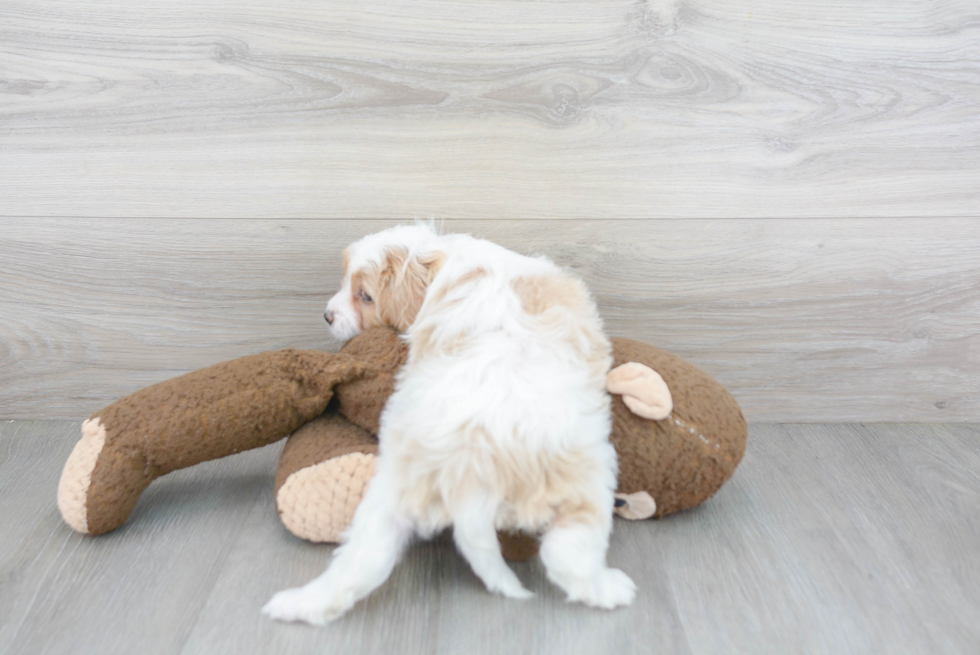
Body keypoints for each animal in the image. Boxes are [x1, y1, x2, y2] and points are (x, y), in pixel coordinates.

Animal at [260, 226, 636, 624]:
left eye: (364, 296)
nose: (327, 316)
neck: (441, 256)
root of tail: (470, 467)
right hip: (589, 478)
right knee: (566, 554)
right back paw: (611, 589)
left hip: (390, 495)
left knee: (363, 560)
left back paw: (299, 602)